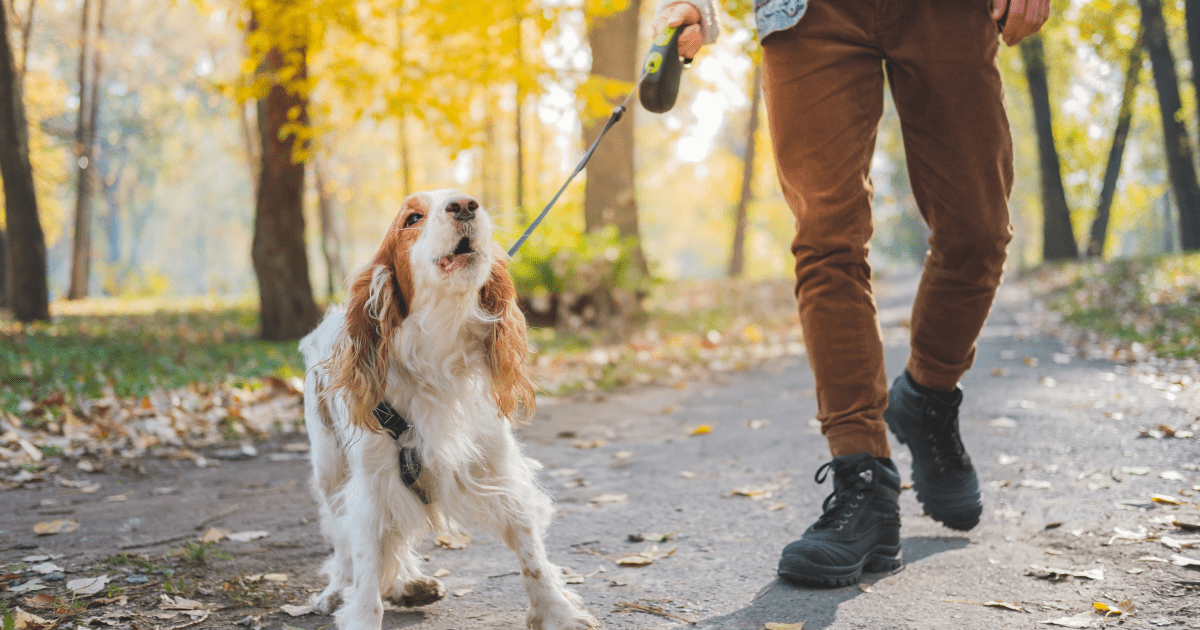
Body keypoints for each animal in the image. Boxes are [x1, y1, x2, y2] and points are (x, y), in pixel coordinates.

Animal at [300, 190, 600, 628]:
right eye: (412, 218)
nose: (464, 205)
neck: (437, 351)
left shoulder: (498, 469)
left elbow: (532, 557)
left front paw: (557, 613)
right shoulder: (371, 487)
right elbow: (366, 570)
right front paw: (360, 610)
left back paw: (409, 583)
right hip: (329, 469)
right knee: (341, 540)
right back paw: (339, 589)